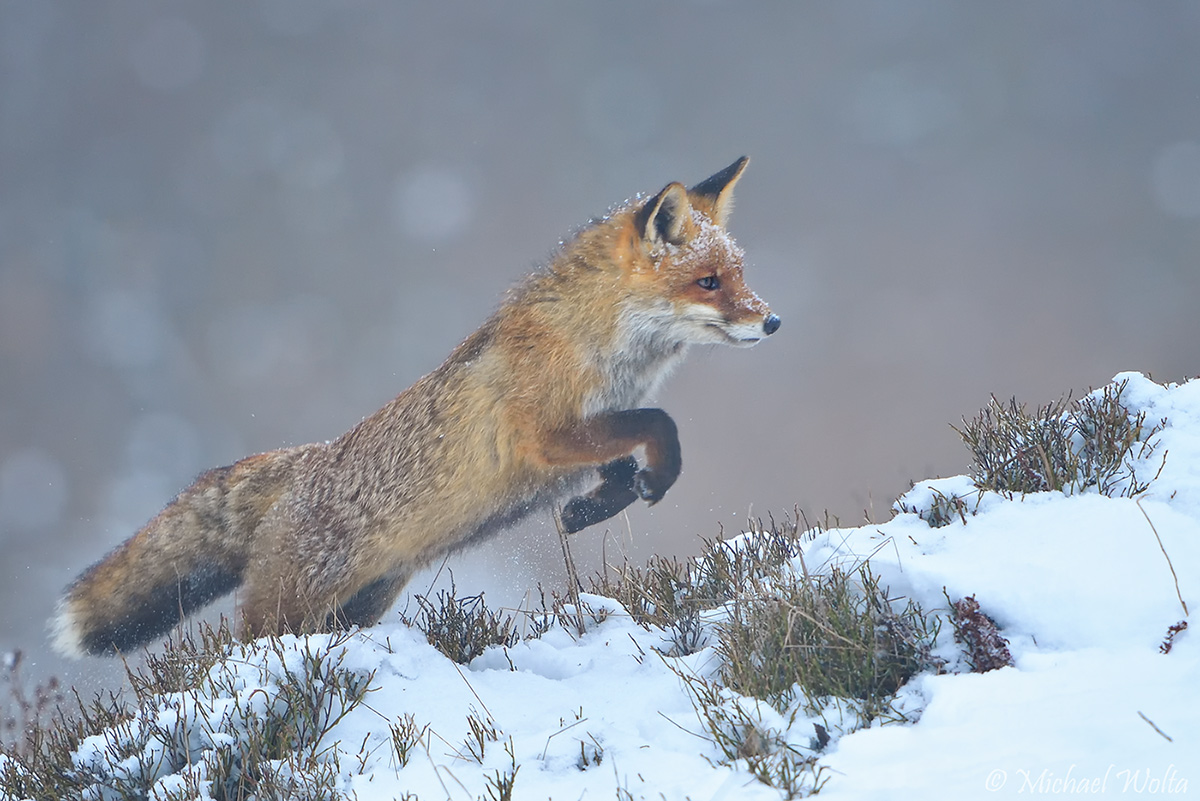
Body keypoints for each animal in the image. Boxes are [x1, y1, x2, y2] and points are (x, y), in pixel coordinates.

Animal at [51, 158, 782, 657]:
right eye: (708, 282)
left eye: (740, 275)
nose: (772, 321)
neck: (594, 342)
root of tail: (300, 463)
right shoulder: (544, 434)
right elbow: (659, 426)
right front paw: (652, 478)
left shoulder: (582, 439)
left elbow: (623, 466)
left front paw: (590, 509)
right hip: (287, 613)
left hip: (359, 607)